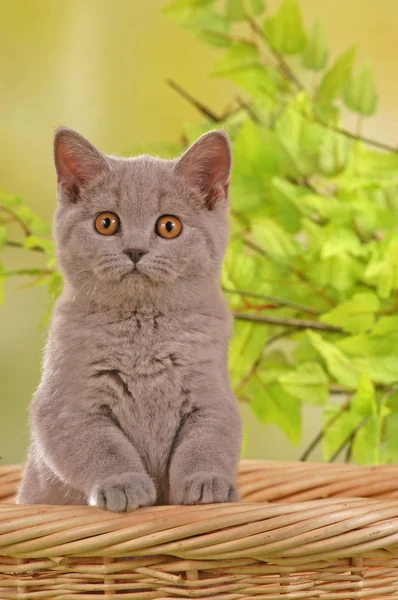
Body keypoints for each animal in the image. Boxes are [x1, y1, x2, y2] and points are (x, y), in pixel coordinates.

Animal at [16, 126, 243, 510]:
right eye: (106, 223)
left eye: (169, 226)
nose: (135, 250)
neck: (144, 329)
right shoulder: (66, 408)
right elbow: (105, 448)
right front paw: (124, 485)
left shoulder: (212, 398)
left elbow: (204, 445)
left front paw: (206, 484)